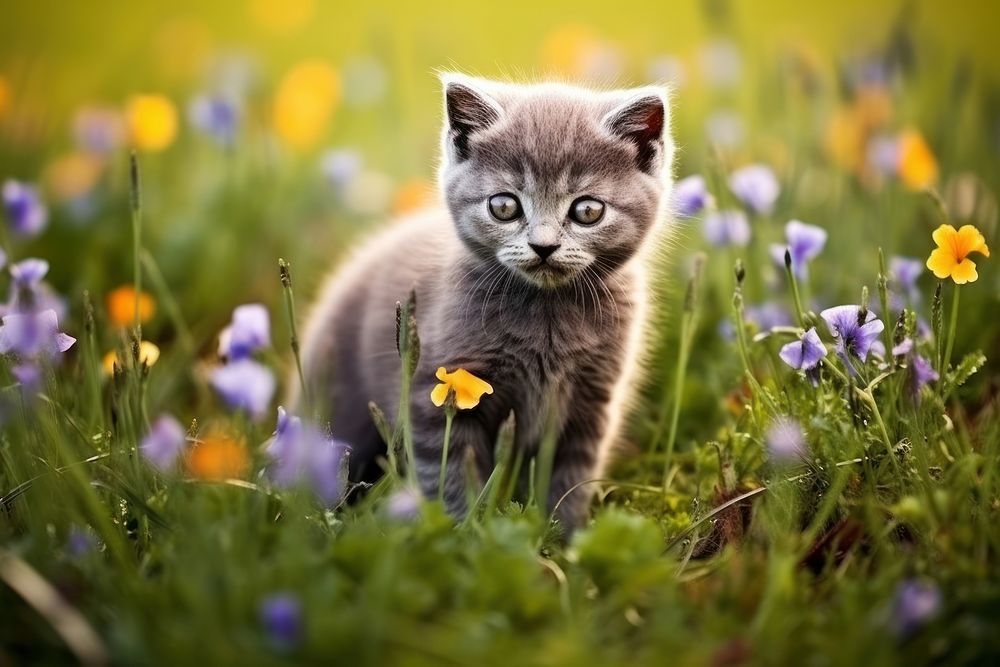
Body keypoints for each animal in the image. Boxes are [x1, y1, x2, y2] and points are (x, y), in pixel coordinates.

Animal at [292, 74, 676, 532]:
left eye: (587, 210)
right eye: (504, 205)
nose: (543, 246)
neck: (547, 316)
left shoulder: (592, 402)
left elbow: (571, 479)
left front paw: (563, 537)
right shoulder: (435, 394)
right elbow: (451, 474)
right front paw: (461, 532)